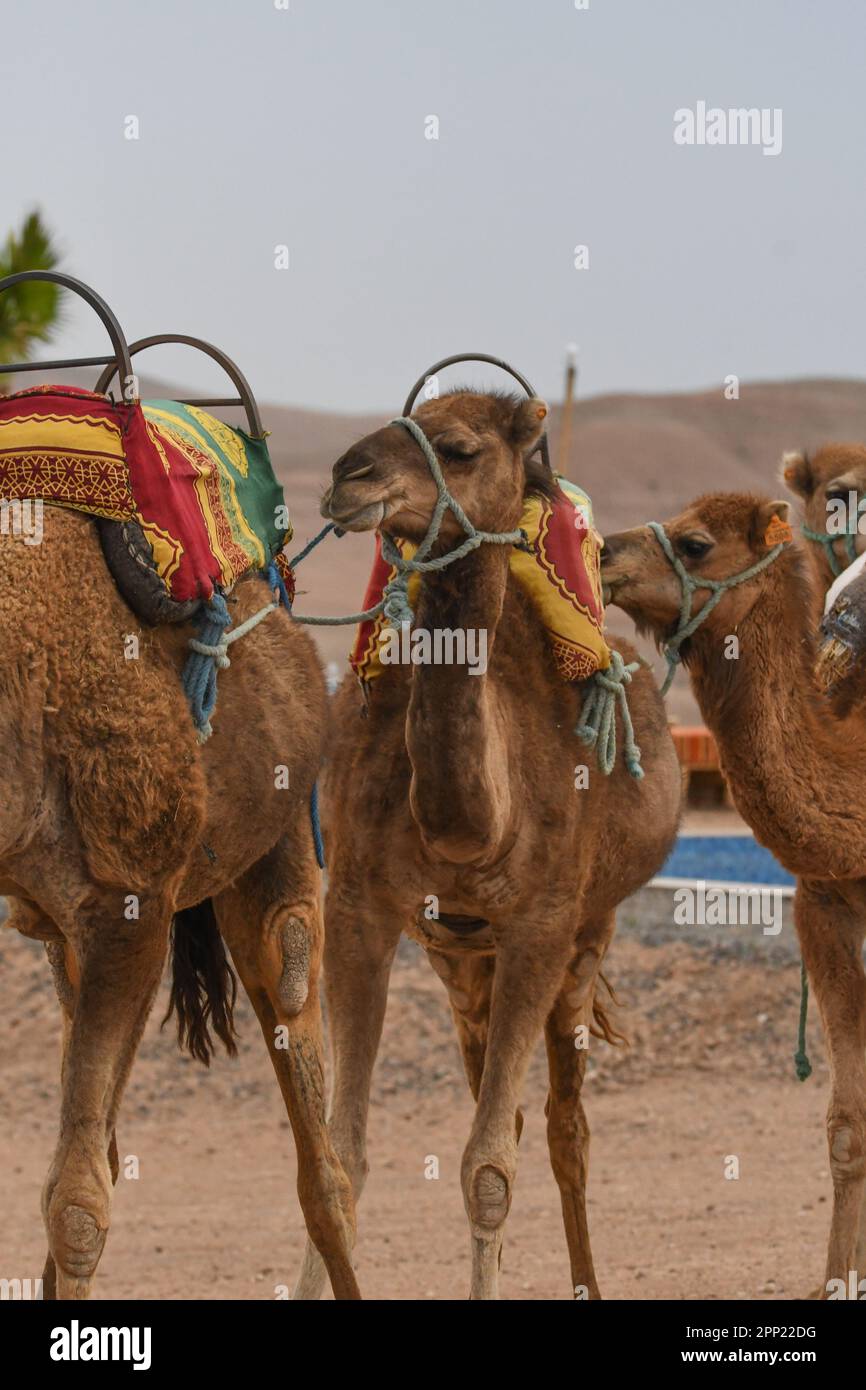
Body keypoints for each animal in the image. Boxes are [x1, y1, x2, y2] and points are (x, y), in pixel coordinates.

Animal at [291, 386, 683, 1295]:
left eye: (460, 448)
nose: (347, 476)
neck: (477, 823)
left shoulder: (542, 926)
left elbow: (489, 1169)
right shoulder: (360, 909)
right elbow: (344, 1157)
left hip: (584, 938)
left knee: (565, 1129)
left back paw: (587, 1280)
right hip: (460, 957)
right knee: (502, 1100)